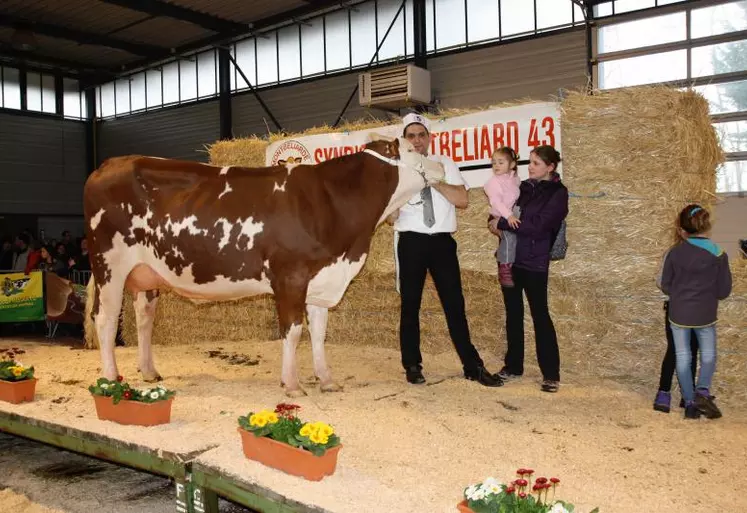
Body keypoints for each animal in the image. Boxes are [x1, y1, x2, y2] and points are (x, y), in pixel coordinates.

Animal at [83, 136, 444, 396]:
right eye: (413, 148)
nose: (442, 165)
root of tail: (108, 165)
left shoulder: (321, 279)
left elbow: (319, 333)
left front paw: (326, 380)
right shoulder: (291, 277)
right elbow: (293, 331)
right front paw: (292, 384)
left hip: (146, 274)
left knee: (144, 318)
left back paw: (149, 371)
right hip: (109, 265)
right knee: (104, 319)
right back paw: (111, 378)